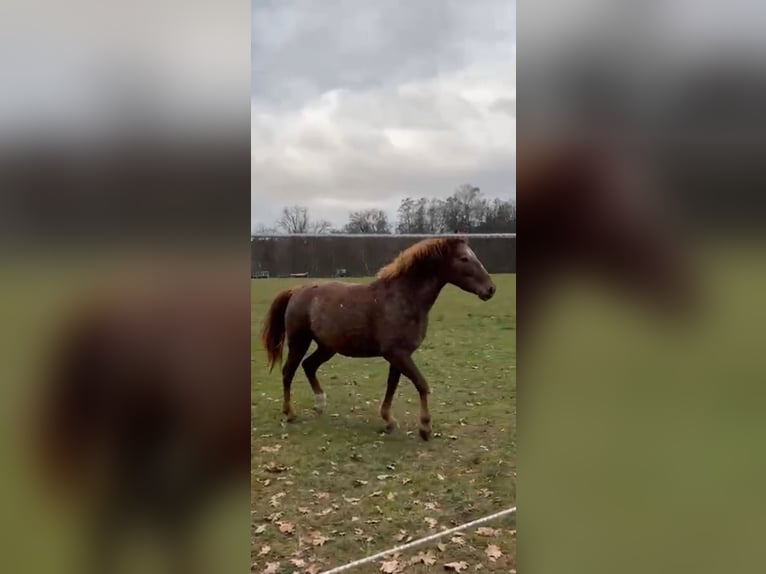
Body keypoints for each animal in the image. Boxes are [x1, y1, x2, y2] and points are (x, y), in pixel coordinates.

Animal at [260, 236, 496, 441]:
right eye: (464, 258)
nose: (491, 289)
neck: (402, 298)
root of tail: (296, 290)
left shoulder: (399, 355)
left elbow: (392, 386)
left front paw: (389, 421)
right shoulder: (397, 354)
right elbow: (421, 384)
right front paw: (425, 428)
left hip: (328, 347)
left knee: (309, 365)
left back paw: (319, 404)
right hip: (299, 342)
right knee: (288, 371)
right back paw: (289, 413)